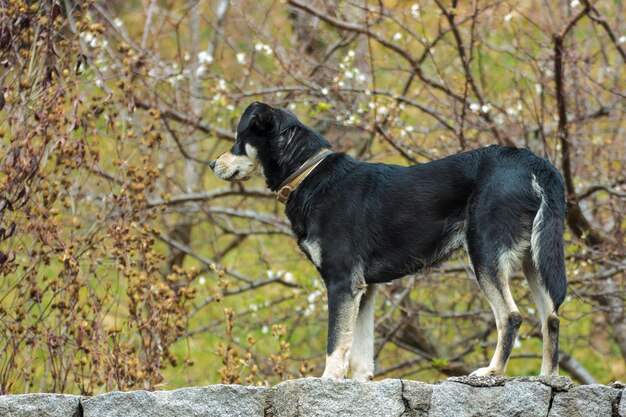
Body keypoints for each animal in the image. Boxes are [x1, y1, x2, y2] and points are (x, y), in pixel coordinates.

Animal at [210, 101, 564, 380]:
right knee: (551, 318)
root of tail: (534, 163)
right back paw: (546, 379)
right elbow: (360, 352)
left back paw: (492, 371)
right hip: (535, 259)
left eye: (239, 140)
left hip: (484, 252)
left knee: (511, 316)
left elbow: (335, 343)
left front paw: (327, 380)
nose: (213, 163)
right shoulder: (365, 290)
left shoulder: (341, 282)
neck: (308, 174)